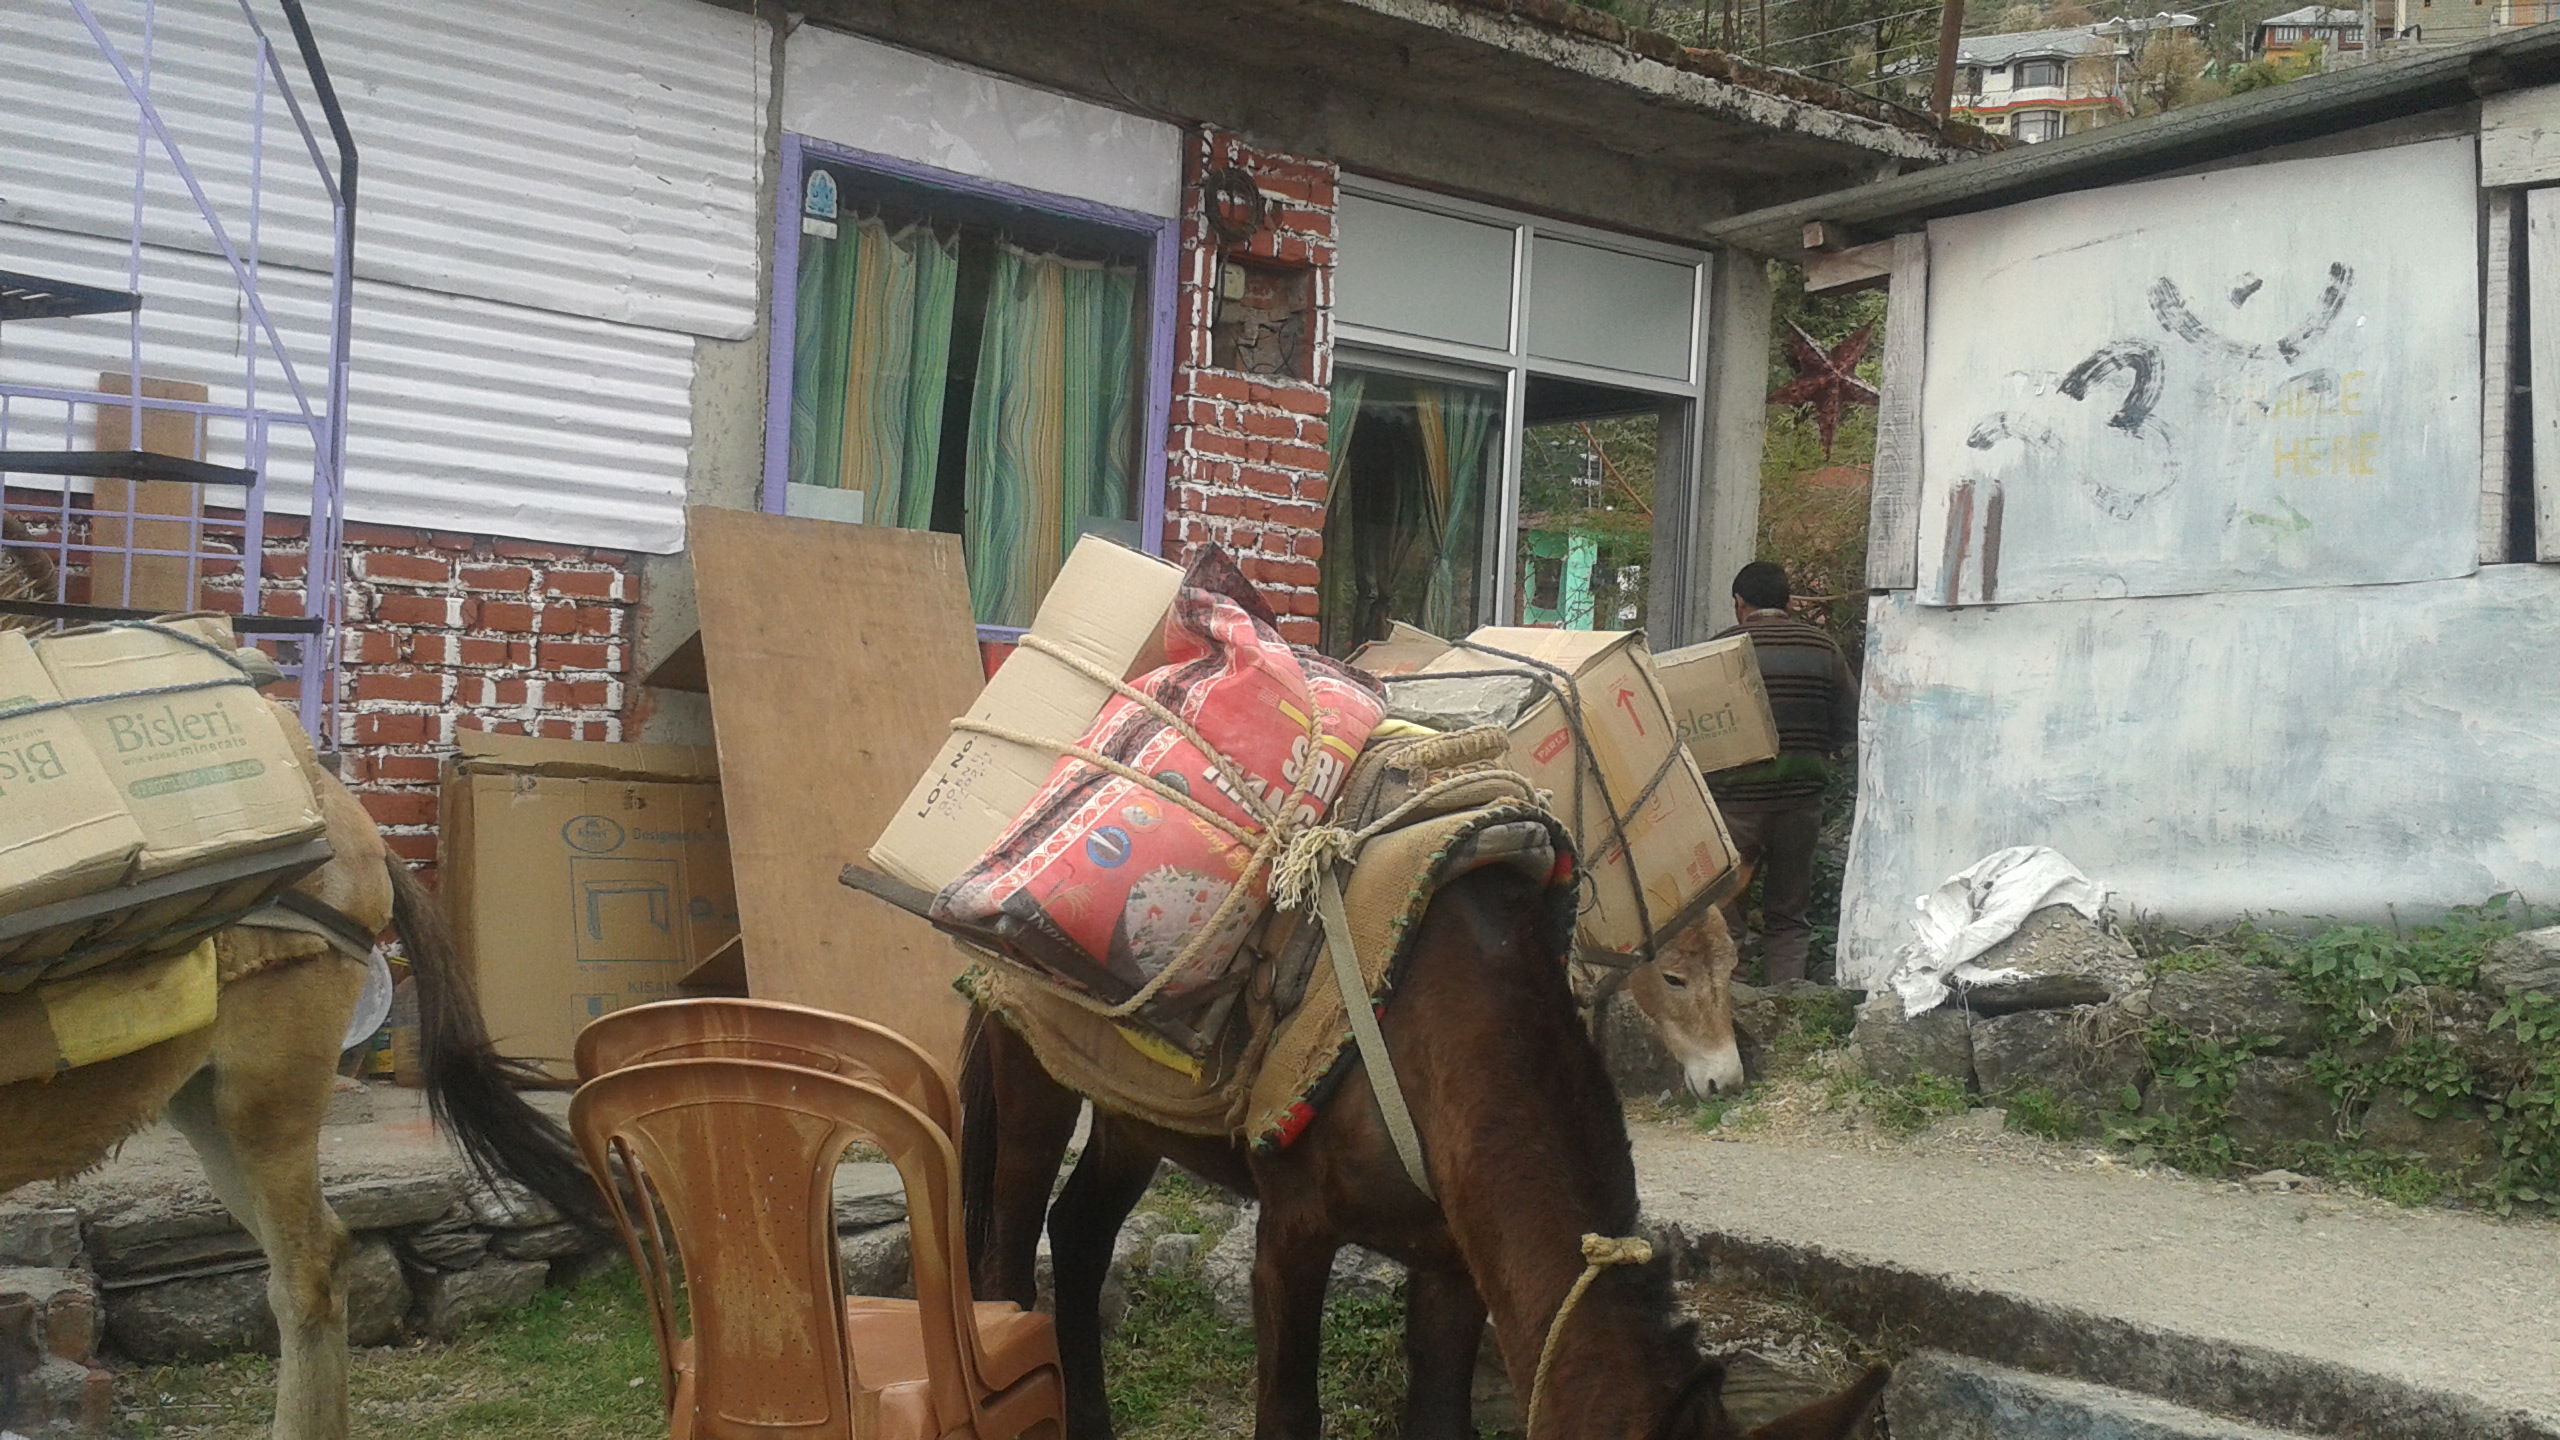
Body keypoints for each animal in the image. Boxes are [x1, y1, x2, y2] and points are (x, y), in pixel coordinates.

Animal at [961, 869, 1882, 1440]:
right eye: (1679, 981)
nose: (1726, 1077)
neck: (1438, 1031)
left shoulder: (1455, 1263)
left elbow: (1440, 1419)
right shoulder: (1290, 1235)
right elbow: (1287, 1416)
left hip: (1131, 1118)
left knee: (1079, 1235)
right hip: (1033, 1074)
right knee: (1008, 1265)